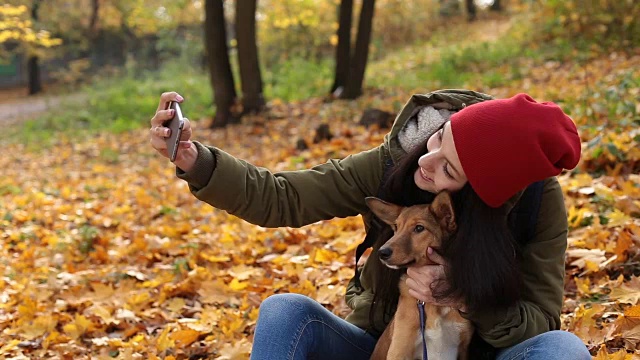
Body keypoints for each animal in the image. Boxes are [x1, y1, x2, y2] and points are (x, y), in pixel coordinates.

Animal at [364, 193, 476, 360]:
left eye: (419, 228)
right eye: (396, 227)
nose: (382, 253)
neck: (434, 306)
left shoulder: (462, 349)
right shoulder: (399, 350)